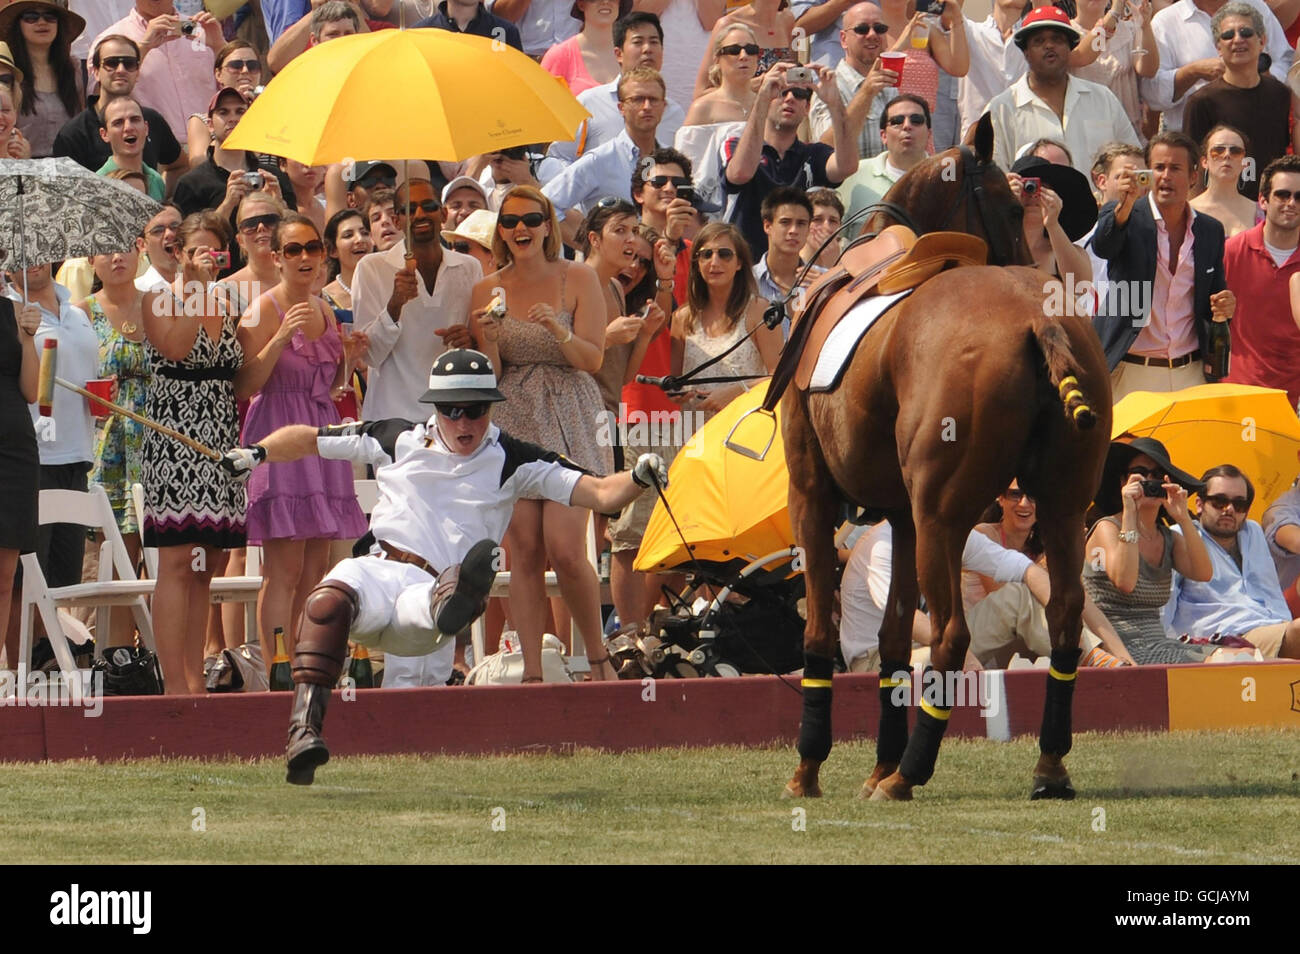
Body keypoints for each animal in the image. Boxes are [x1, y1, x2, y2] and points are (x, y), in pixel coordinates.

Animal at [774, 115, 1112, 805]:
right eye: (1010, 207)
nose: (1032, 257)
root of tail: (1039, 320)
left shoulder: (813, 494)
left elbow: (822, 629)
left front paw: (814, 767)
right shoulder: (900, 517)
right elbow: (892, 637)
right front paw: (877, 762)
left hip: (942, 516)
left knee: (955, 632)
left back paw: (911, 773)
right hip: (1061, 508)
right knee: (1065, 615)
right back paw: (1049, 767)